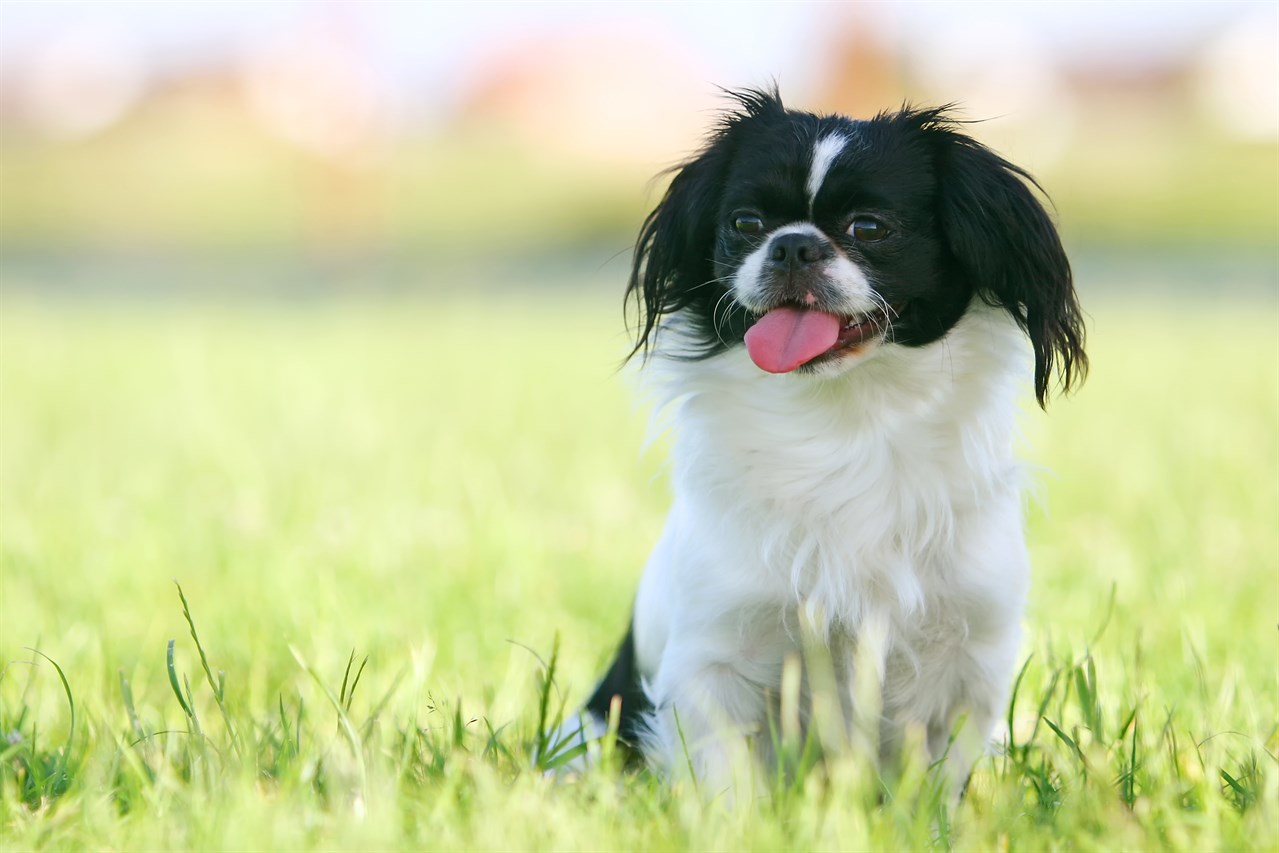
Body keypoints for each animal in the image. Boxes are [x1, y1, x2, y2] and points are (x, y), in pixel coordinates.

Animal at [575, 88, 1084, 792]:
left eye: (869, 229)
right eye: (746, 223)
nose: (792, 246)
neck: (846, 422)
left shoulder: (967, 663)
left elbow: (938, 784)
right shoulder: (715, 660)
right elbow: (728, 784)